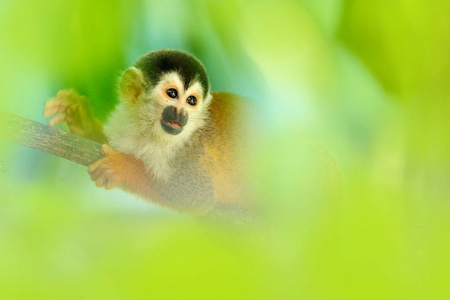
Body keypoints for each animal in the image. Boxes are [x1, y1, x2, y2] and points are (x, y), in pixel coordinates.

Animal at [43, 49, 250, 223]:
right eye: (172, 93)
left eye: (191, 101)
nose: (181, 114)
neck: (149, 130)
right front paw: (82, 121)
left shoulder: (188, 150)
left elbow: (196, 197)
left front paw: (123, 168)